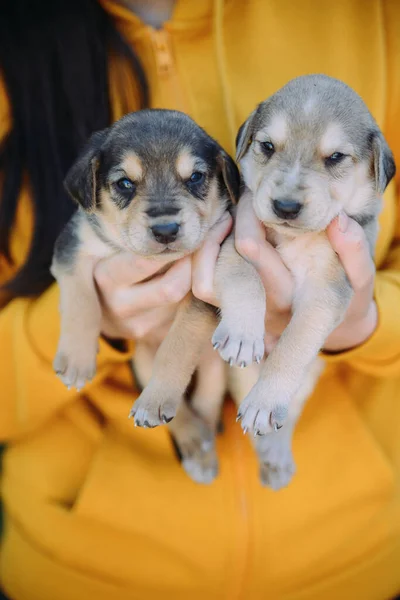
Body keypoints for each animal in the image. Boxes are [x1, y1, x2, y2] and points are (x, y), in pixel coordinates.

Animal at [50, 108, 239, 482]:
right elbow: (80, 301)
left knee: (204, 405)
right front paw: (77, 359)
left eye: (196, 177)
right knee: (182, 415)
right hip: (139, 360)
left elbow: (177, 345)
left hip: (214, 370)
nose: (166, 230)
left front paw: (158, 398)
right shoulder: (72, 246)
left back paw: (197, 443)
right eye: (125, 183)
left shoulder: (204, 290)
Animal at [214, 74, 396, 488]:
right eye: (267, 146)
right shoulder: (237, 240)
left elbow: (293, 343)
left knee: (285, 417)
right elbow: (246, 278)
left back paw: (276, 455)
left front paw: (265, 400)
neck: (298, 240)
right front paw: (243, 333)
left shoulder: (328, 290)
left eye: (336, 158)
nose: (285, 206)